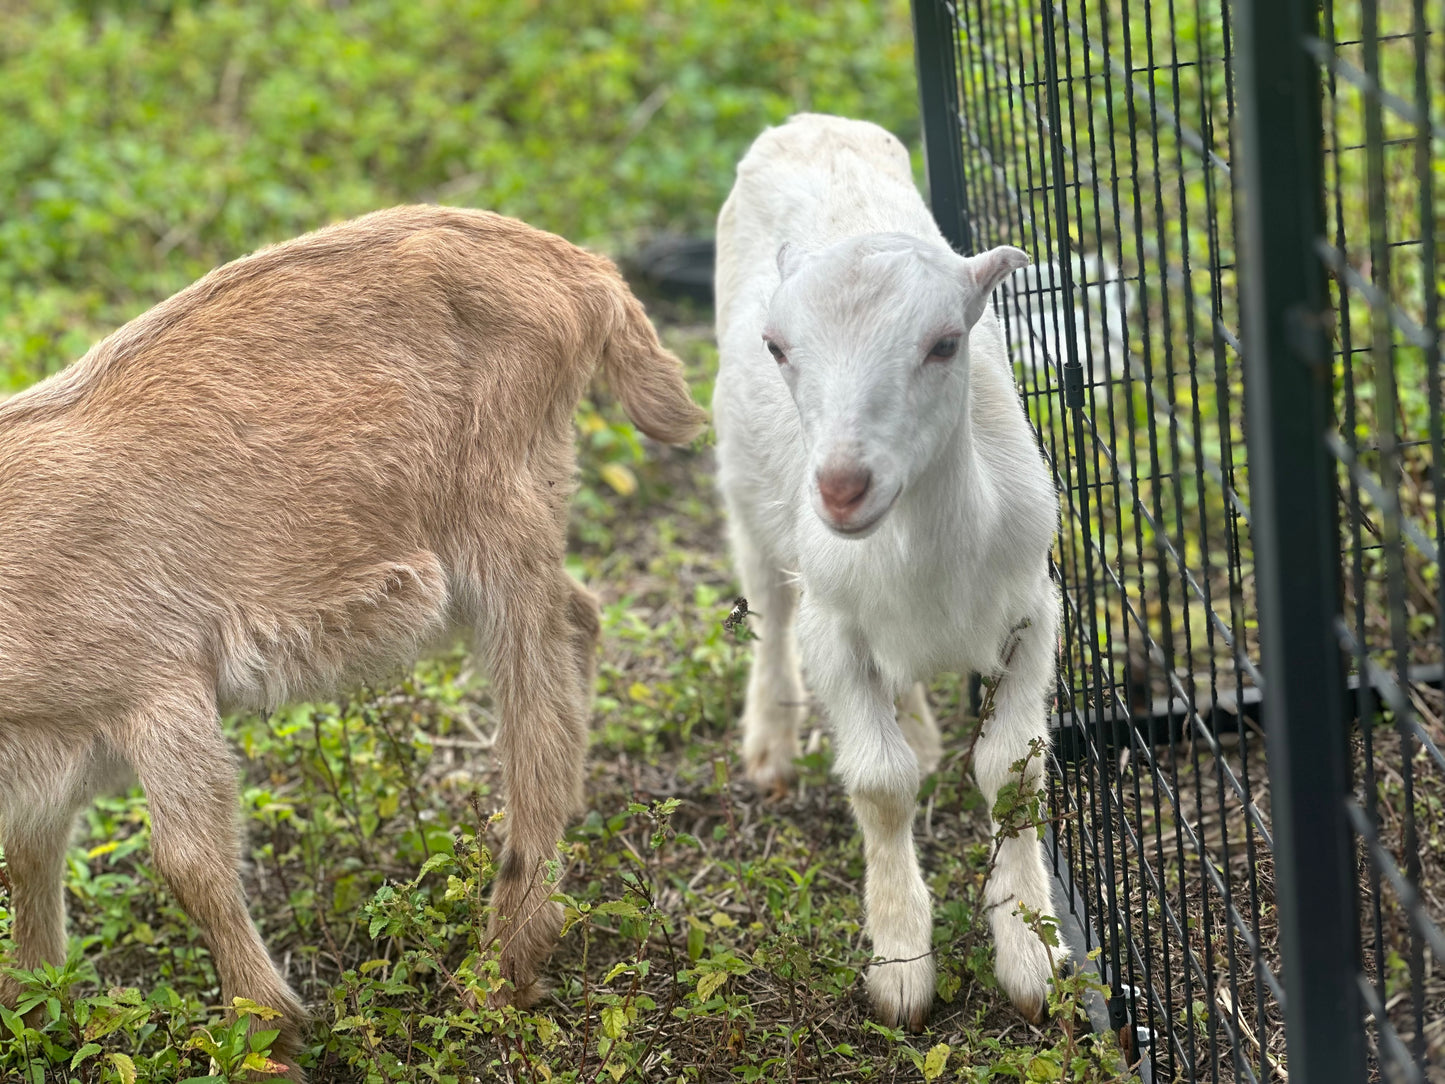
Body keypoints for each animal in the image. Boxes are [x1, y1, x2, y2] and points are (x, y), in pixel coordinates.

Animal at [0, 203, 705, 1081]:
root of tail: (584, 272)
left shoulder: (158, 689)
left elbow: (189, 865)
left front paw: (267, 1038)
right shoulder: (44, 758)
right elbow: (28, 858)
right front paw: (33, 1011)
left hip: (499, 515)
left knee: (537, 691)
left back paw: (501, 969)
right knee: (579, 621)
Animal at [710, 114, 1063, 1029]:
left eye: (944, 344)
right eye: (776, 347)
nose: (840, 487)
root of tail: (809, 122)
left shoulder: (1034, 610)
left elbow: (1012, 770)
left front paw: (1032, 954)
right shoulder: (833, 628)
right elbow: (878, 784)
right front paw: (901, 966)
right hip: (744, 491)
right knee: (766, 606)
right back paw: (769, 743)